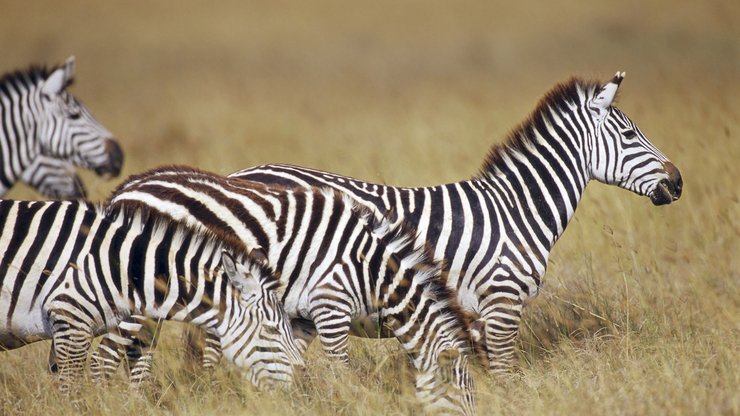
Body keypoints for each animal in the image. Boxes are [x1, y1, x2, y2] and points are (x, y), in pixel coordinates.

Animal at [97, 167, 474, 416]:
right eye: (464, 395)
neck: (372, 269)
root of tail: (127, 187)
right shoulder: (330, 305)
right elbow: (339, 369)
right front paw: (343, 403)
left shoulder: (303, 317)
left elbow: (288, 361)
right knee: (106, 358)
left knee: (137, 356)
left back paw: (136, 404)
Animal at [231, 70, 684, 374]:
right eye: (629, 136)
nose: (678, 182)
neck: (517, 210)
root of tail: (240, 174)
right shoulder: (502, 301)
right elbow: (504, 374)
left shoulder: (477, 316)